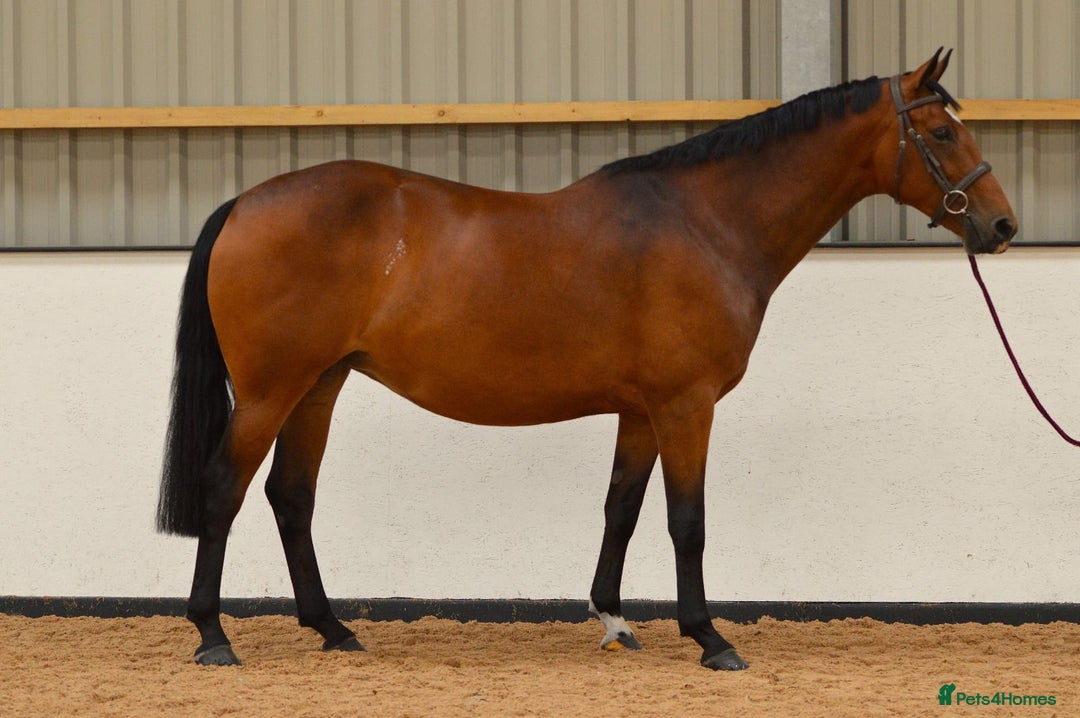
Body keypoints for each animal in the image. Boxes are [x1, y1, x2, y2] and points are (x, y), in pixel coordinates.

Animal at [157, 48, 1016, 670]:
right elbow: (687, 521)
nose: (1002, 224)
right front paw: (711, 639)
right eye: (943, 133)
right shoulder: (685, 404)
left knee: (290, 496)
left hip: (319, 386)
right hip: (270, 390)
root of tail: (246, 202)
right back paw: (213, 637)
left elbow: (621, 511)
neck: (706, 222)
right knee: (224, 488)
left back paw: (333, 629)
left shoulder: (640, 410)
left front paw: (613, 617)